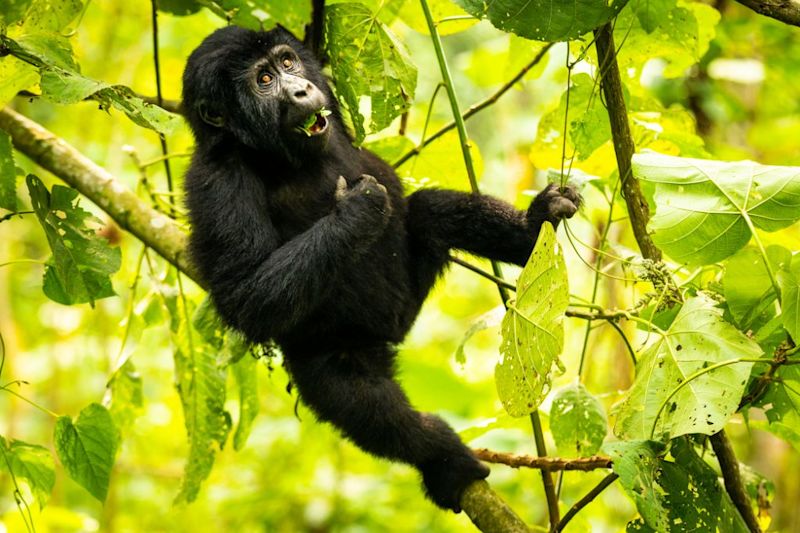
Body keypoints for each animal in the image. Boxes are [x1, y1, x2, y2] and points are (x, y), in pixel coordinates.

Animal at [184, 26, 580, 512]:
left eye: (287, 62)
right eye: (263, 79)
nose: (300, 89)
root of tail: (395, 331)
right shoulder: (218, 182)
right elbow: (244, 298)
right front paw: (357, 211)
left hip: (412, 292)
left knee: (430, 211)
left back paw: (532, 229)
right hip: (342, 343)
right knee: (360, 400)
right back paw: (441, 457)